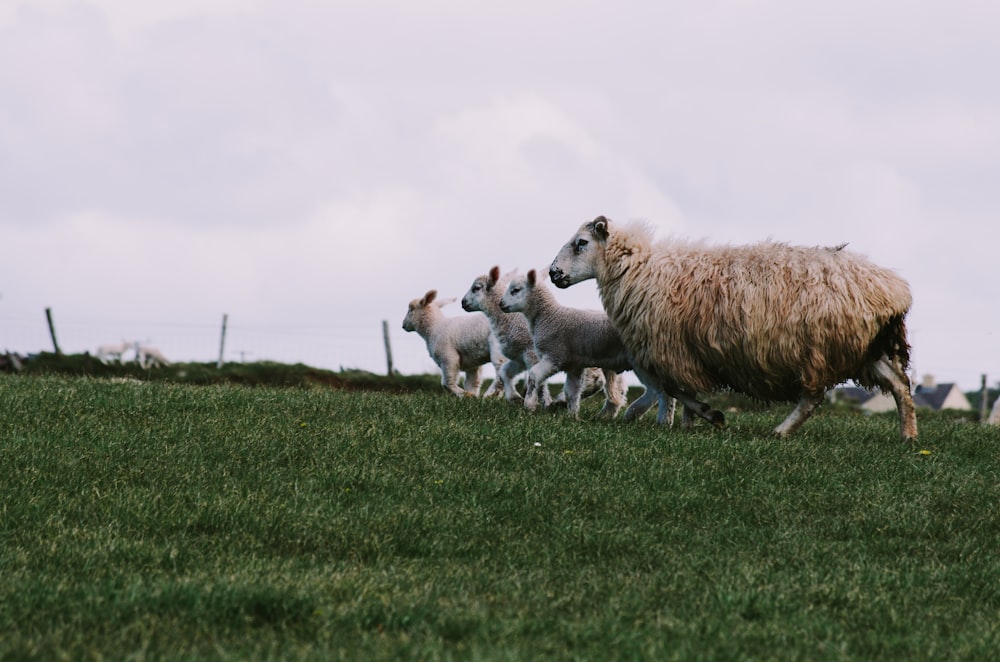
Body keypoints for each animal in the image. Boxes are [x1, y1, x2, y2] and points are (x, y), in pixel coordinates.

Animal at [552, 215, 916, 444]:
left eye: (581, 242)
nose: (554, 273)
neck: (639, 270)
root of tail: (891, 290)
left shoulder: (673, 349)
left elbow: (675, 389)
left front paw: (709, 415)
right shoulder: (685, 351)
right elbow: (677, 391)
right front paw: (689, 422)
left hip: (819, 348)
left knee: (813, 398)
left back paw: (780, 431)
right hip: (865, 348)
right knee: (900, 384)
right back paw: (908, 437)